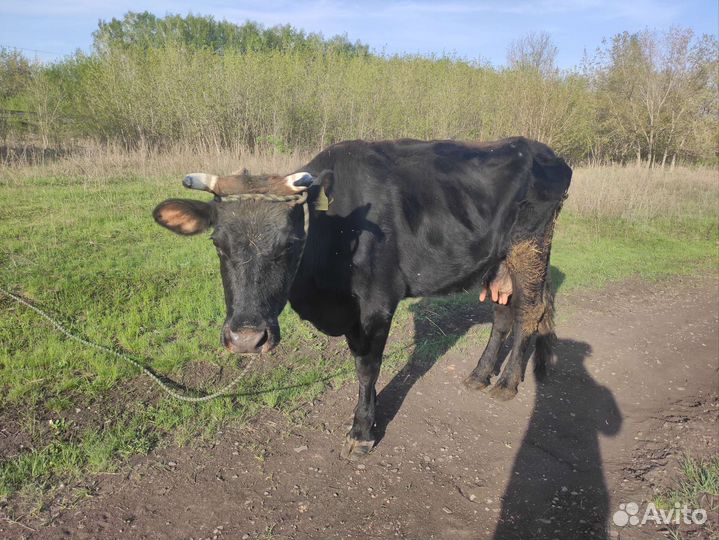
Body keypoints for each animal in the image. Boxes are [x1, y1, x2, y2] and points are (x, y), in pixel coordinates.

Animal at [153, 137, 572, 460]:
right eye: (217, 243)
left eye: (290, 243)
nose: (245, 339)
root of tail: (539, 149)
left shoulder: (376, 304)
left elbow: (367, 368)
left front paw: (362, 431)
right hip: (497, 261)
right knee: (504, 315)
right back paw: (480, 375)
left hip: (529, 247)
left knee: (531, 310)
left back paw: (507, 383)